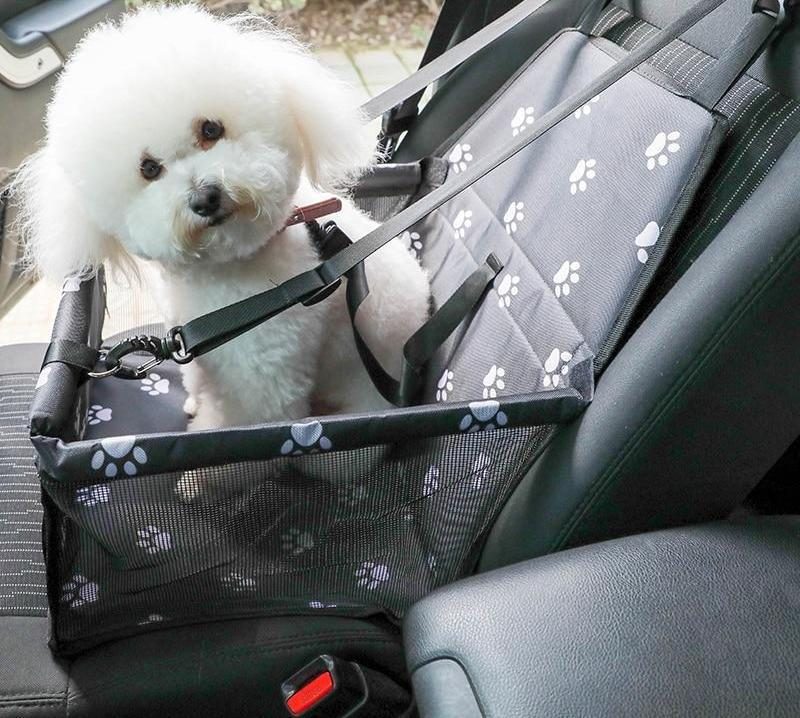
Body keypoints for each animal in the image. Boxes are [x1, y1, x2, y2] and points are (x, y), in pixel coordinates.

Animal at [15, 5, 432, 430]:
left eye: (211, 129)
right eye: (148, 168)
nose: (205, 198)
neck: (227, 271)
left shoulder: (264, 375)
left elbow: (238, 419)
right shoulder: (197, 349)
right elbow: (198, 379)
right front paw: (194, 402)